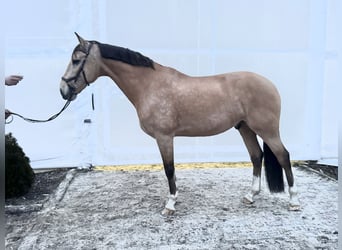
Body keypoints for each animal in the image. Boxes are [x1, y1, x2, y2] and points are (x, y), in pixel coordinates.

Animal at [60, 33, 300, 216]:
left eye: (76, 61)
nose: (63, 91)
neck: (149, 85)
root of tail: (270, 84)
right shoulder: (167, 138)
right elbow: (171, 170)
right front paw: (175, 198)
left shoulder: (164, 137)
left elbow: (169, 169)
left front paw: (170, 204)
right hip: (245, 128)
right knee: (256, 156)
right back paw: (250, 196)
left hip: (267, 130)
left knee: (283, 156)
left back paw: (294, 201)